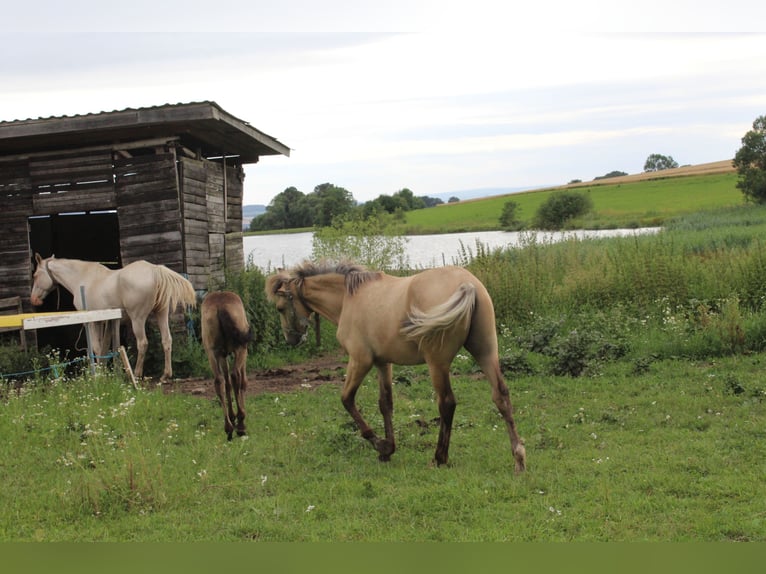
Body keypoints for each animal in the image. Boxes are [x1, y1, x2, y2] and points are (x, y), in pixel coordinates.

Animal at [31, 253, 196, 382]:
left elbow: (97, 348)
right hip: (161, 314)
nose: (34, 300)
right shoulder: (104, 323)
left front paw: (99, 373)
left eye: (35, 275)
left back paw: (136, 374)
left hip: (137, 319)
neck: (83, 278)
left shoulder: (91, 322)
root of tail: (155, 270)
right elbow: (103, 348)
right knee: (167, 340)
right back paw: (165, 375)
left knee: (142, 343)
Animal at [202, 292, 254, 440]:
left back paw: (229, 427)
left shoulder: (222, 356)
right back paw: (240, 424)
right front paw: (239, 419)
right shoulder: (242, 351)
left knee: (219, 381)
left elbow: (227, 385)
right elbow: (242, 382)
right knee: (235, 375)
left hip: (212, 352)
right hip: (240, 349)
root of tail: (220, 306)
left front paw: (232, 417)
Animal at [268, 260, 528, 472]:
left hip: (437, 363)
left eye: (280, 308)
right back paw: (519, 458)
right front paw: (388, 449)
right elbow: (386, 404)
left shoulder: (360, 360)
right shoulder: (383, 363)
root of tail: (468, 285)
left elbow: (347, 399)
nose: (291, 339)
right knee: (501, 396)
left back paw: (439, 457)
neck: (349, 298)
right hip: (485, 352)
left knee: (447, 403)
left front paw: (380, 445)